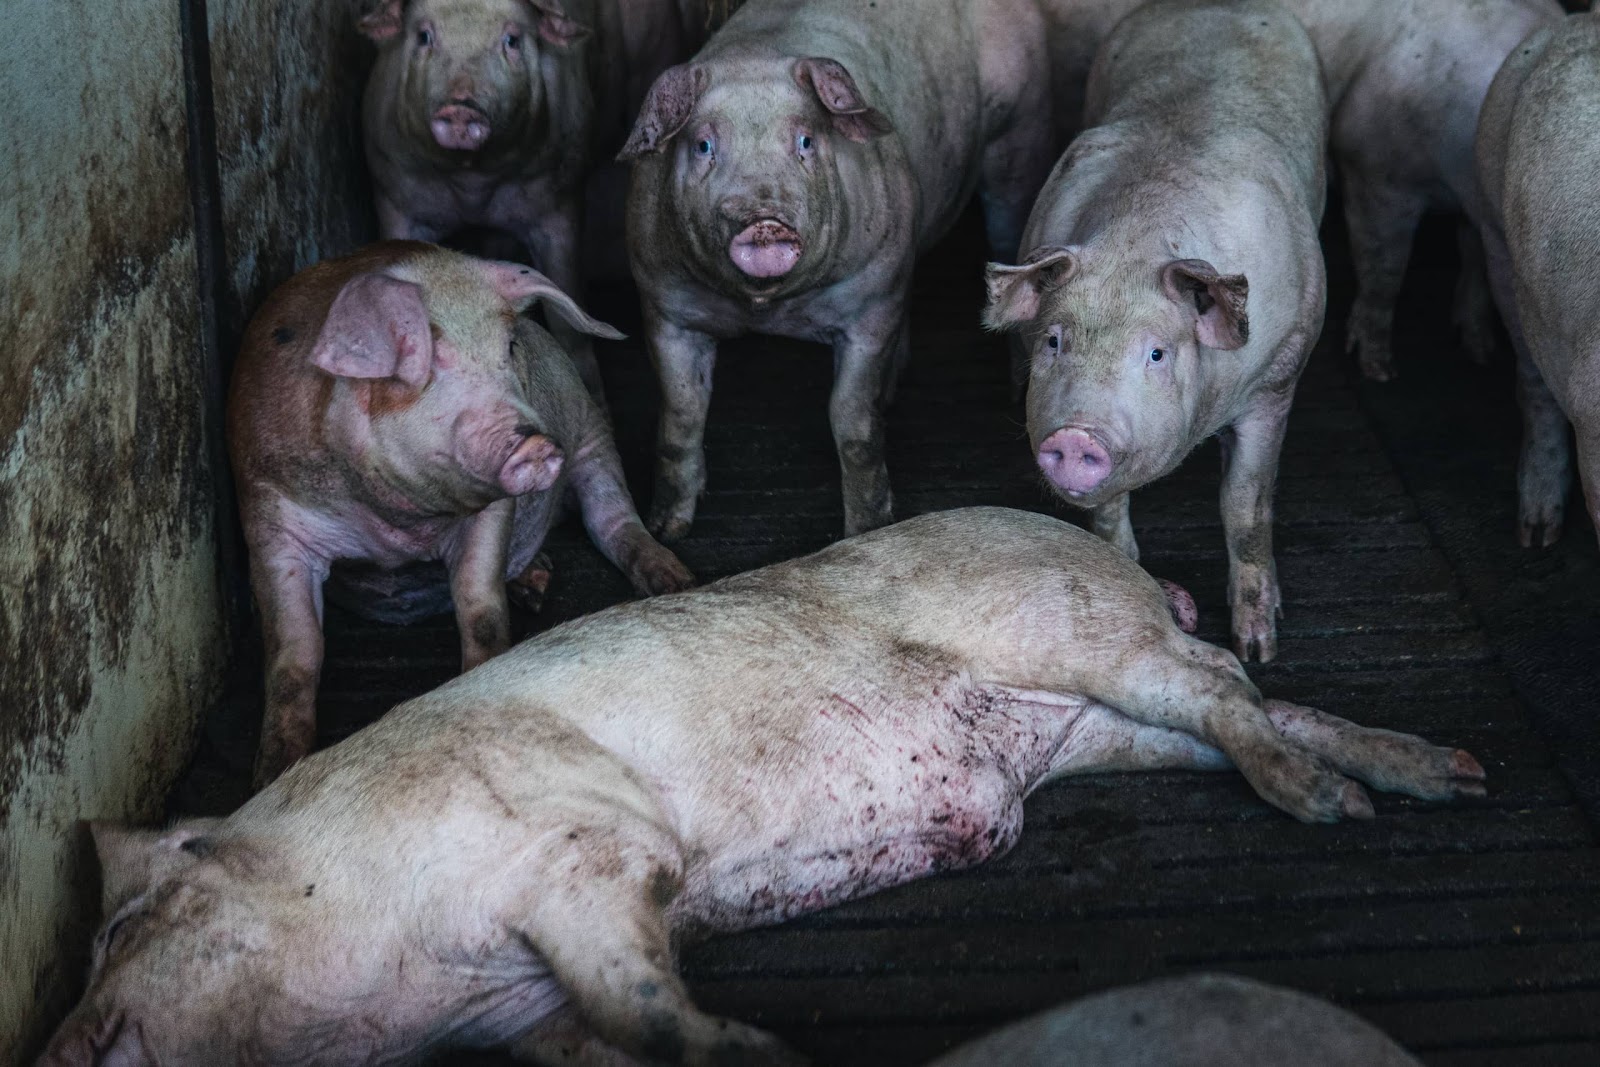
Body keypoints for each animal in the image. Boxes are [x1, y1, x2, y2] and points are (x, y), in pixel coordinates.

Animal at [39, 508, 1484, 1067]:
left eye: (120, 925)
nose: (56, 1042)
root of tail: (1098, 544)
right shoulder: (518, 1011)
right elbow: (607, 1027)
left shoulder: (582, 847)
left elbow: (645, 988)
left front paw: (757, 1050)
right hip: (1100, 725)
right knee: (1243, 703)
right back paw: (1439, 777)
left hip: (1081, 632)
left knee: (1229, 680)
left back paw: (1335, 805)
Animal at [226, 241, 692, 788]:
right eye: (429, 362)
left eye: (509, 348)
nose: (535, 443)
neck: (392, 525)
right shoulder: (270, 518)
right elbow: (295, 650)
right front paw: (272, 775)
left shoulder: (493, 511)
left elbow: (479, 604)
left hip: (591, 433)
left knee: (611, 518)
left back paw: (672, 582)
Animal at [358, 0, 717, 400]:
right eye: (423, 36)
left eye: (512, 40)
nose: (460, 107)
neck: (473, 180)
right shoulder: (394, 195)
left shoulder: (558, 203)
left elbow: (566, 315)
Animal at [621, 0, 1058, 539]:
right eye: (703, 146)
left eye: (806, 141)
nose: (763, 220)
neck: (765, 309)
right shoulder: (663, 306)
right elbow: (680, 415)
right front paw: (667, 530)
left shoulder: (869, 302)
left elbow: (851, 422)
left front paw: (867, 529)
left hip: (1021, 132)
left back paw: (1013, 387)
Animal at [983, 0, 1328, 663]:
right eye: (1053, 341)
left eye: (1158, 354)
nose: (1077, 435)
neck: (1135, 244)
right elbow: (1109, 516)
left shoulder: (1278, 378)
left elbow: (1245, 503)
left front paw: (1259, 649)